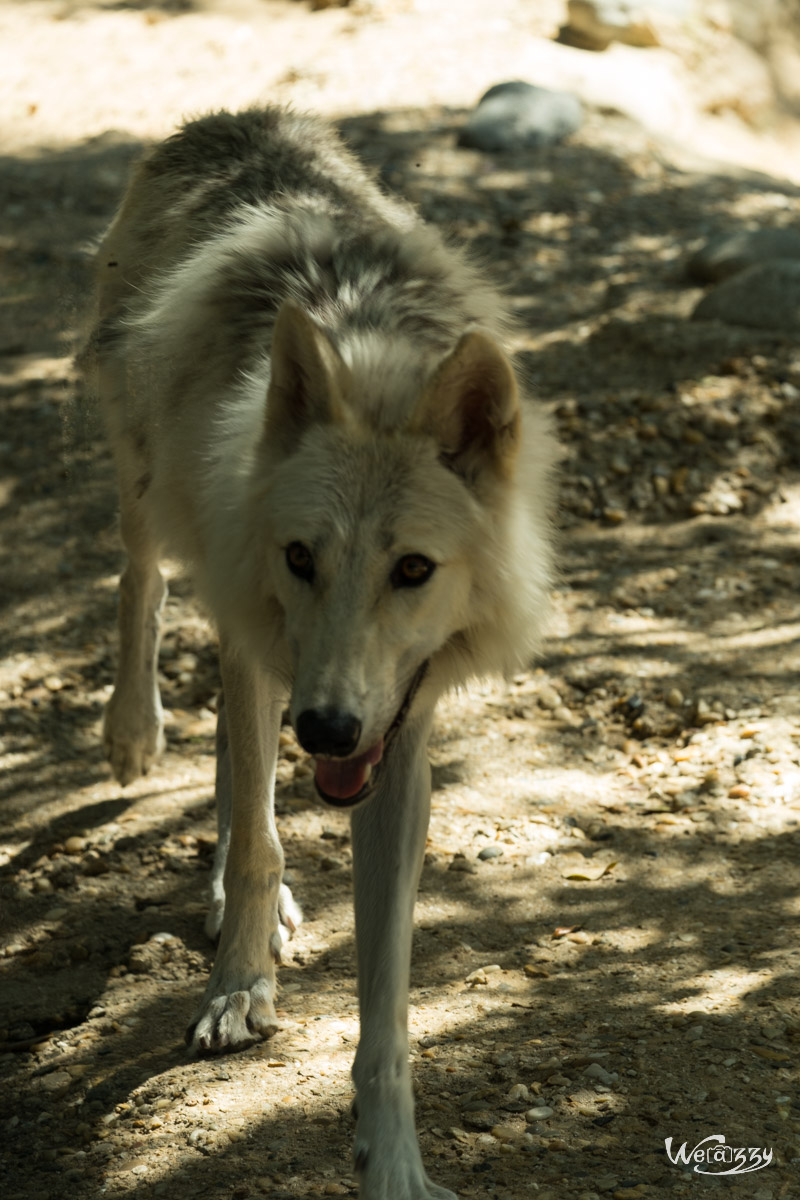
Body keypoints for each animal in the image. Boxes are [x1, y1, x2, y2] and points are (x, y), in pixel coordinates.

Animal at [82, 108, 556, 1195]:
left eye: (413, 569)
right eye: (303, 556)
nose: (329, 727)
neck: (373, 359)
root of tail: (239, 119)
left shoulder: (399, 740)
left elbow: (386, 994)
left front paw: (391, 1162)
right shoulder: (267, 638)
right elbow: (262, 836)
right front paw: (236, 990)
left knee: (232, 755)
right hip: (153, 499)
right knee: (142, 584)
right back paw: (134, 735)